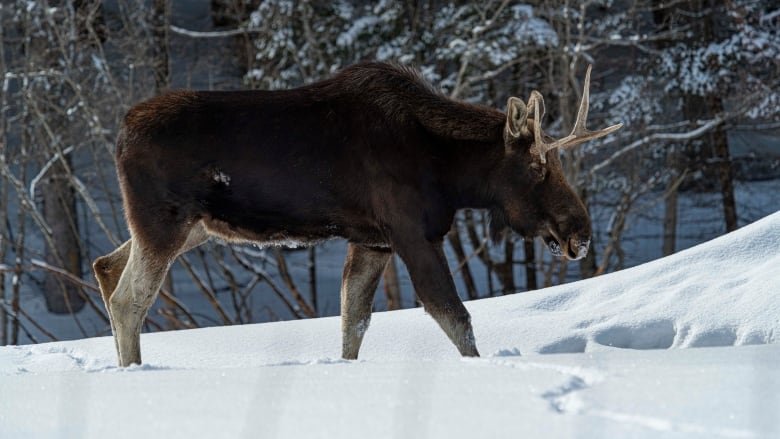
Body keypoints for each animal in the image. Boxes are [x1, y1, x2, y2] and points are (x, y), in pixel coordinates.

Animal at [93, 61, 620, 364]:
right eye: (536, 166)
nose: (580, 232)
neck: (448, 172)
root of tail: (119, 136)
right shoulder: (410, 232)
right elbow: (453, 316)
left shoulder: (372, 239)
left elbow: (354, 320)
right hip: (163, 220)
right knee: (129, 299)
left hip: (189, 227)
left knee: (105, 265)